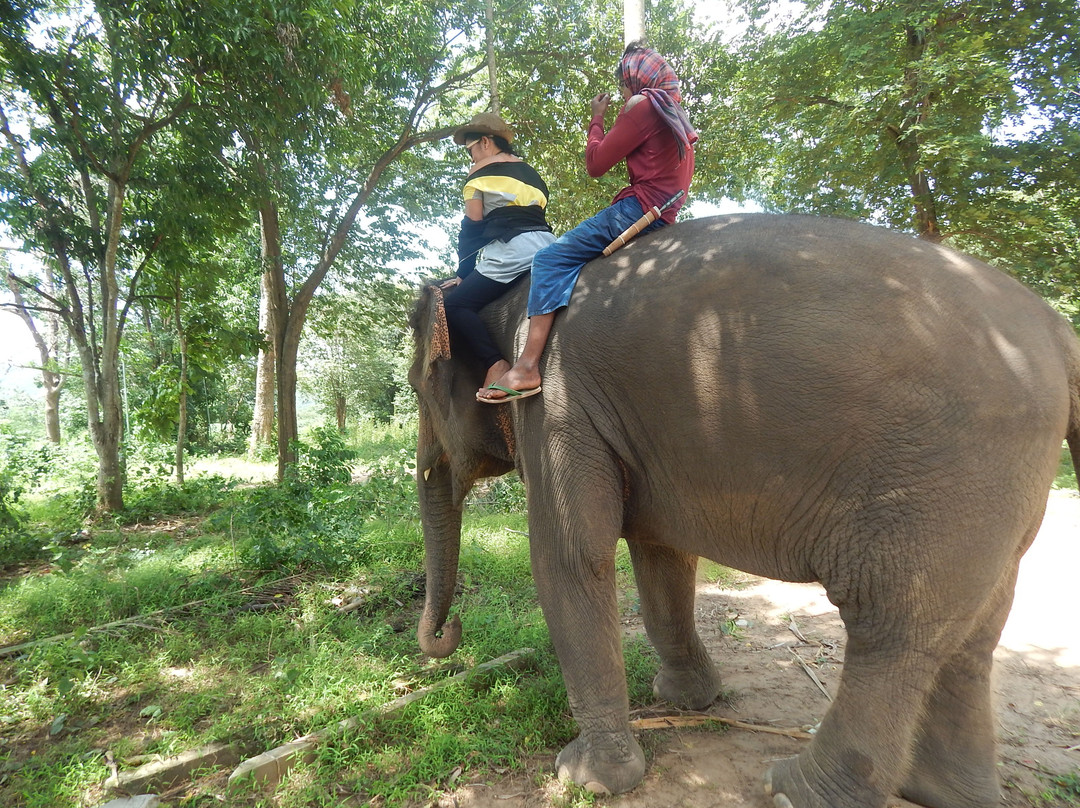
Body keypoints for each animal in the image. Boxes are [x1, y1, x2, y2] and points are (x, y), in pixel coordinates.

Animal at [406, 214, 1080, 808]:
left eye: (415, 387)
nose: (449, 631)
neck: (512, 291)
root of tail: (1058, 332)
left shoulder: (555, 399)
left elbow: (569, 557)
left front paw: (586, 778)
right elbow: (661, 553)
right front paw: (685, 700)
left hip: (945, 475)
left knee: (892, 627)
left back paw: (793, 790)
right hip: (998, 489)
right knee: (973, 636)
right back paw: (938, 792)